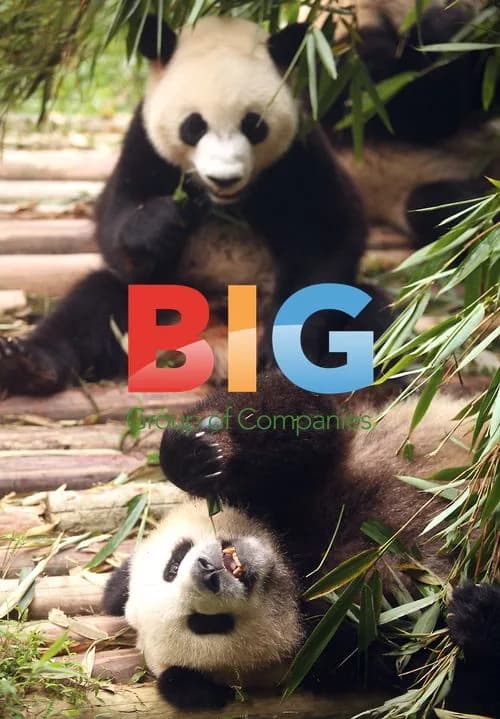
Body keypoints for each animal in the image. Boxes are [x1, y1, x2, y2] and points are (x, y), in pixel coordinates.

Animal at [0, 15, 388, 397]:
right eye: (194, 126)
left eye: (254, 125)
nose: (224, 178)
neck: (223, 203)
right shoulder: (144, 146)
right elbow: (115, 220)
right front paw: (161, 221)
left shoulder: (299, 154)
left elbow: (329, 238)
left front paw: (285, 354)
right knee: (94, 306)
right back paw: (28, 366)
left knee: (369, 315)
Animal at [103, 371, 500, 716]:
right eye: (203, 623)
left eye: (174, 562)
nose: (208, 571)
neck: (295, 567)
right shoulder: (350, 647)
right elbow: (452, 681)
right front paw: (477, 613)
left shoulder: (299, 489)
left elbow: (302, 413)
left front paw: (195, 453)